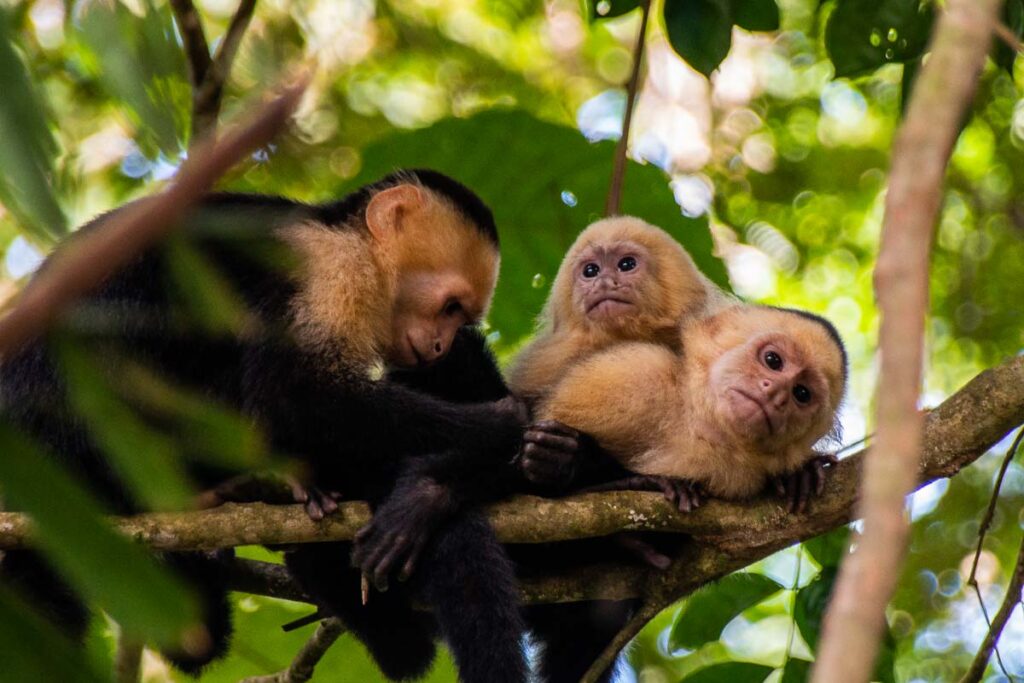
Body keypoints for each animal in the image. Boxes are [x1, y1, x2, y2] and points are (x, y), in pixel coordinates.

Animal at [0, 169, 532, 681]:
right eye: (450, 307)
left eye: (461, 315)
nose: (443, 345)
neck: (350, 240)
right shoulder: (332, 270)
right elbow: (292, 397)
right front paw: (494, 430)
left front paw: (428, 492)